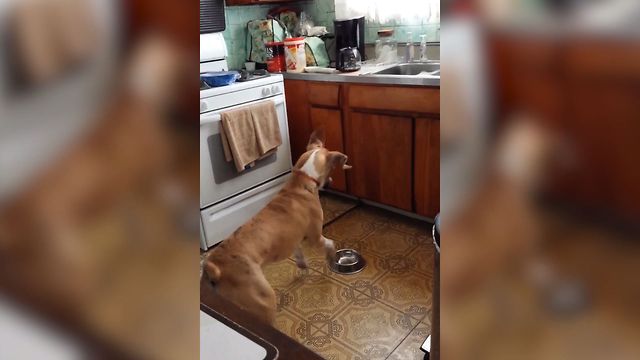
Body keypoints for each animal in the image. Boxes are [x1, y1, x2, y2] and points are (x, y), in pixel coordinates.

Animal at [204, 131, 350, 324]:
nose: (331, 183)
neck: (301, 179)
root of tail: (215, 268)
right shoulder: (315, 237)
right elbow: (329, 243)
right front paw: (332, 256)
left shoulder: (294, 238)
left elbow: (299, 252)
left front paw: (303, 265)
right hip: (264, 300)